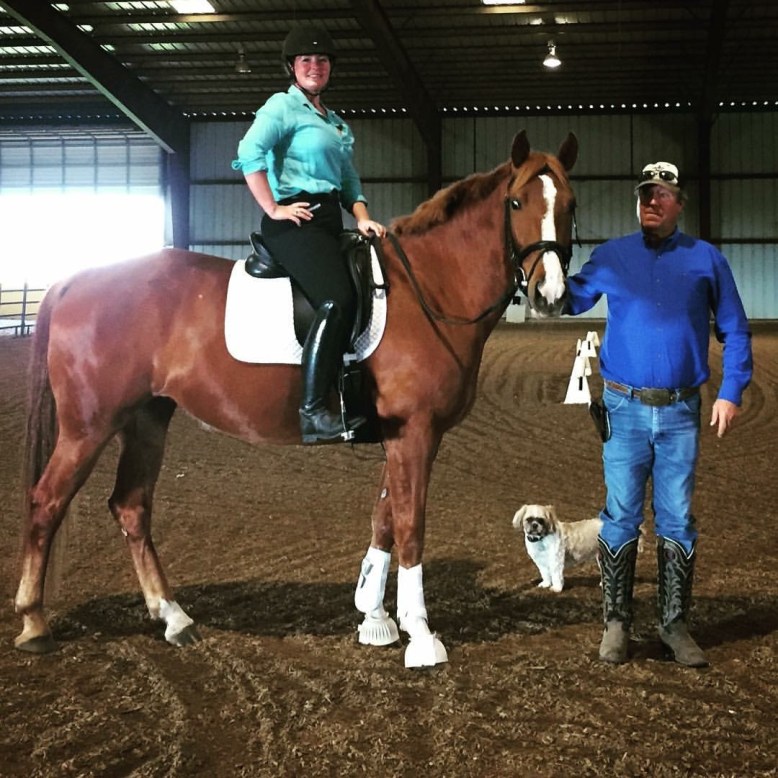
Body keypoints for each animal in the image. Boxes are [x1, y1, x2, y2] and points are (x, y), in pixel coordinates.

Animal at [13, 130, 578, 667]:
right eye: (516, 203)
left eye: (570, 204)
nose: (550, 296)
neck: (430, 289)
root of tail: (75, 281)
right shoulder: (415, 432)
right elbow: (410, 524)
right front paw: (420, 636)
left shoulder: (398, 435)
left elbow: (384, 518)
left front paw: (374, 619)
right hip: (89, 425)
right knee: (47, 501)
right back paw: (34, 623)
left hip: (147, 418)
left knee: (130, 506)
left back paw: (173, 617)